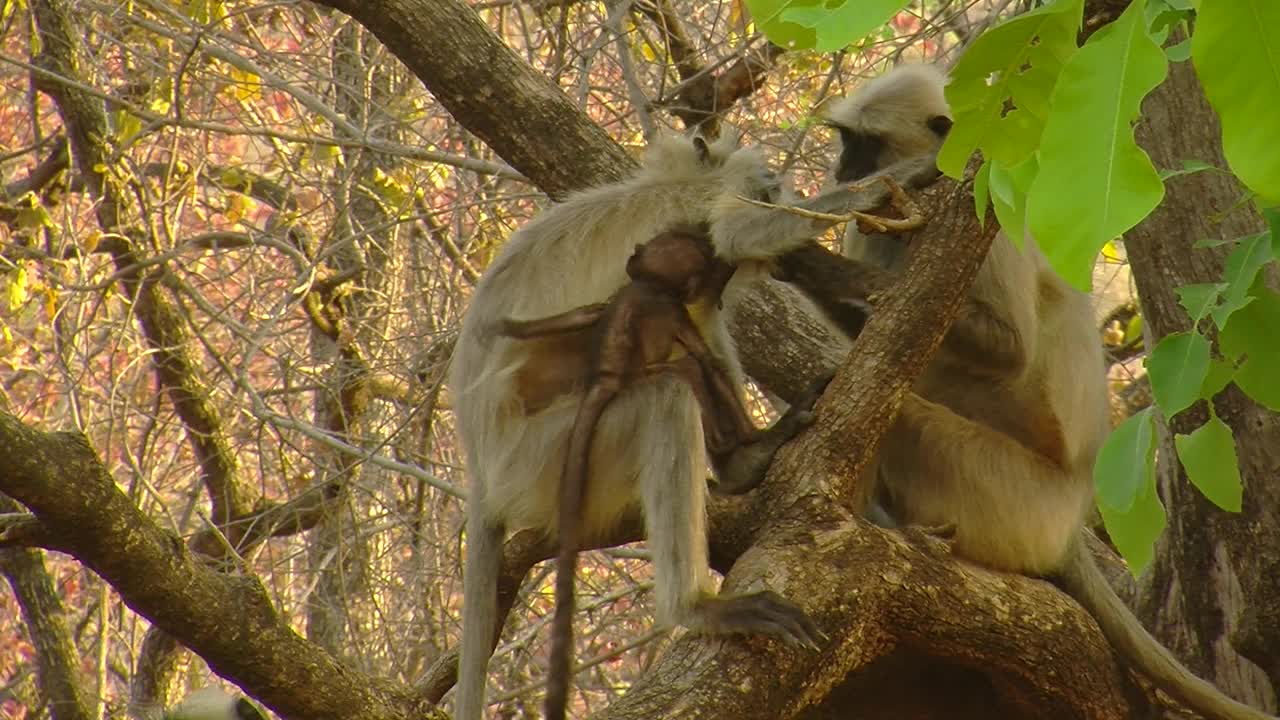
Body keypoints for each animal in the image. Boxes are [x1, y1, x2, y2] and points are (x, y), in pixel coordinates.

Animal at [499, 224, 808, 717]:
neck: (647, 287)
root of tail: (603, 380)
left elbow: (578, 316)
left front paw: (507, 327)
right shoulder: (672, 309)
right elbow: (704, 359)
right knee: (684, 374)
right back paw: (747, 459)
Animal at [762, 61, 1274, 717]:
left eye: (867, 143)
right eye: (846, 140)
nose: (842, 169)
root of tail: (1072, 519)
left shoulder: (984, 217)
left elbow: (1011, 350)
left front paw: (807, 260)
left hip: (1012, 500)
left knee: (900, 411)